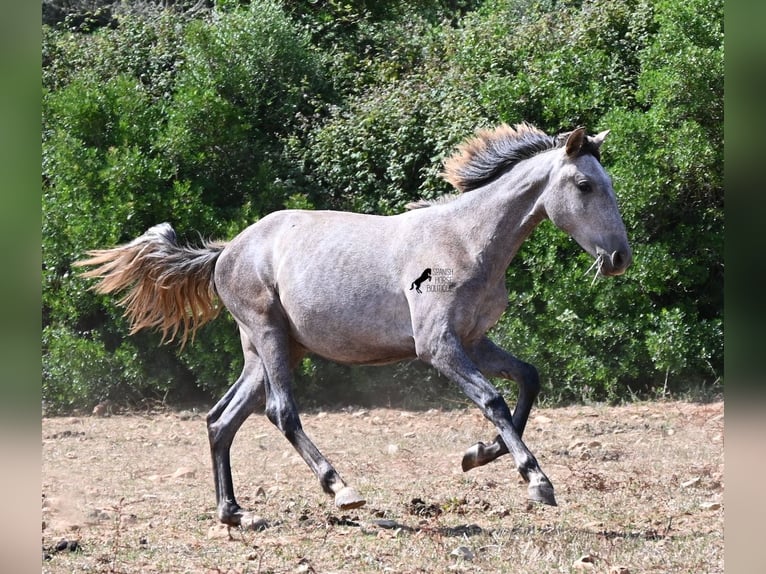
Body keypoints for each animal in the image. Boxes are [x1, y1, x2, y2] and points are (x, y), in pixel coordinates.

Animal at [76, 123, 631, 528]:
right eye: (584, 185)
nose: (619, 258)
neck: (466, 242)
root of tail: (226, 250)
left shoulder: (474, 340)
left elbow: (528, 382)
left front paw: (477, 455)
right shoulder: (438, 346)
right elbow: (493, 400)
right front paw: (536, 480)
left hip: (270, 350)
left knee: (221, 419)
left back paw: (234, 513)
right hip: (270, 337)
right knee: (279, 411)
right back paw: (341, 489)